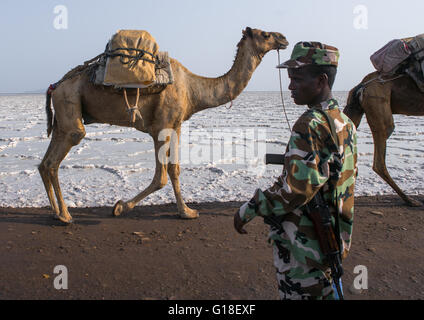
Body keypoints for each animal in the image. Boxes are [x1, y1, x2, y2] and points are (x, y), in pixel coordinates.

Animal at [40, 26, 288, 222]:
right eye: (265, 34)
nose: (284, 38)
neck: (193, 88)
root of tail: (55, 85)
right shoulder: (161, 127)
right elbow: (161, 176)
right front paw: (120, 207)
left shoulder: (175, 126)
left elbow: (174, 169)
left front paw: (187, 212)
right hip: (69, 102)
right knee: (61, 153)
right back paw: (65, 215)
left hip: (63, 115)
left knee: (45, 161)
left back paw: (56, 212)